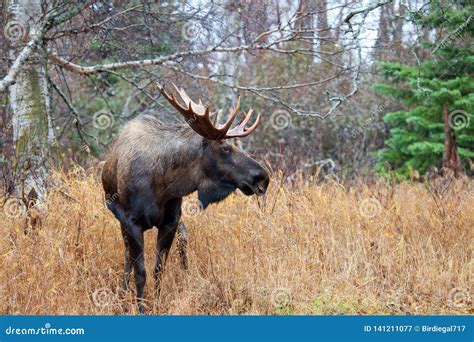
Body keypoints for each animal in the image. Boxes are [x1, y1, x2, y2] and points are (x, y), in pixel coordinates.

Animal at [101, 83, 268, 312]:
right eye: (225, 147)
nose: (263, 177)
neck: (164, 183)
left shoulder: (171, 221)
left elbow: (158, 269)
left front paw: (157, 303)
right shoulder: (132, 221)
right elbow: (141, 272)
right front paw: (141, 307)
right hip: (120, 217)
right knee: (128, 257)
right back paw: (123, 295)